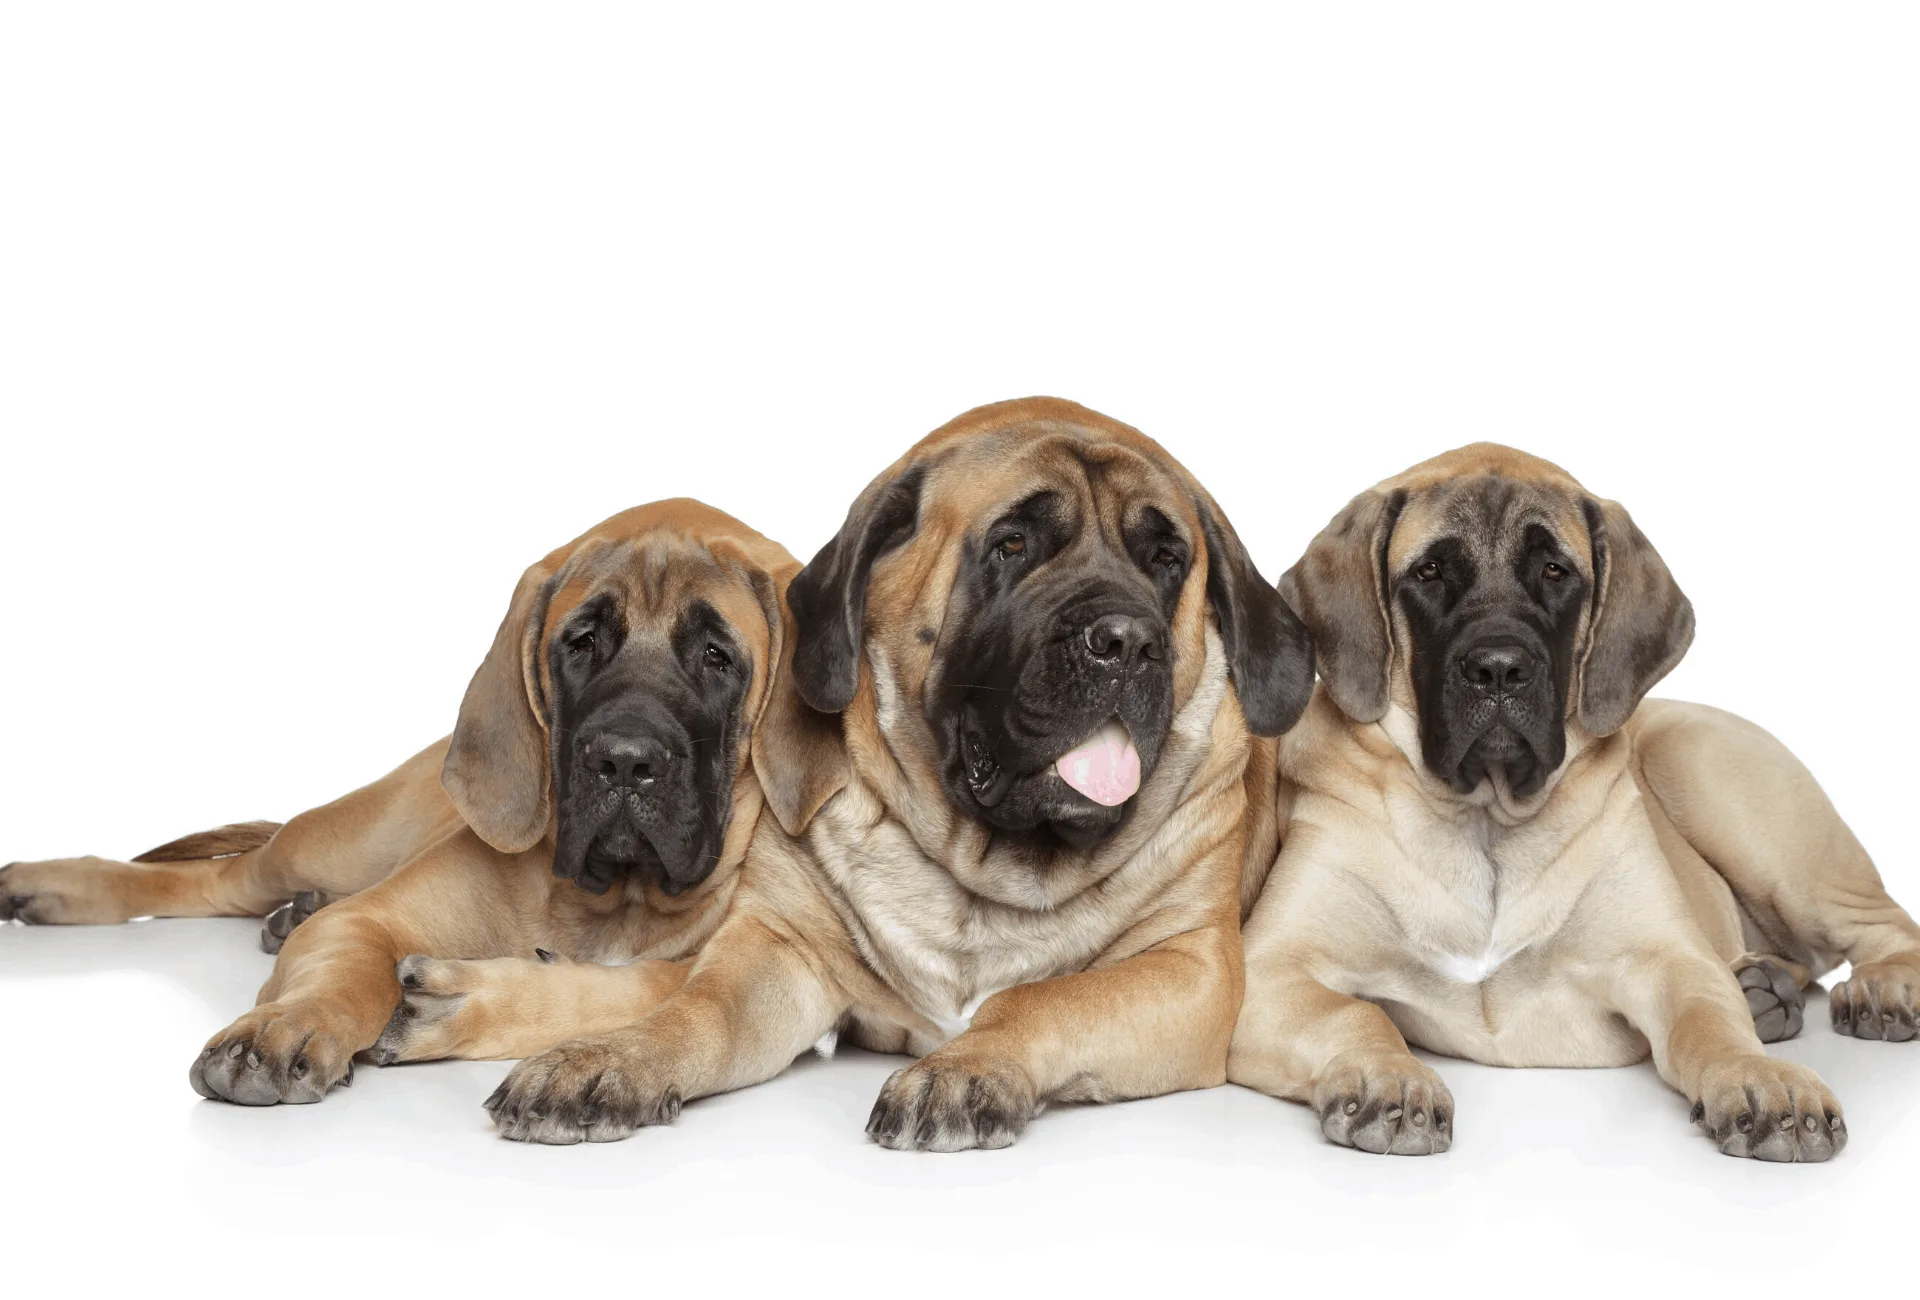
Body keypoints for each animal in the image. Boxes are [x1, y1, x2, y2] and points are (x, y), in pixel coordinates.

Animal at [0, 503, 814, 1098]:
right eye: (581, 642)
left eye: (716, 656)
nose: (623, 759)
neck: (619, 900)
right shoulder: (366, 919)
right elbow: (347, 966)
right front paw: (292, 1022)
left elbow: (625, 990)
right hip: (333, 839)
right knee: (215, 878)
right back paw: (58, 884)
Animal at [480, 395, 1320, 1144]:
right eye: (1012, 546)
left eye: (1168, 561)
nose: (1127, 640)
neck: (983, 876)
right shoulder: (778, 946)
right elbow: (694, 1010)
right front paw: (605, 1059)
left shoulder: (1192, 965)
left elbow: (1041, 1001)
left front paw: (962, 1068)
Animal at [1228, 441, 1920, 1159]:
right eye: (1430, 571)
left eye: (1556, 571)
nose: (1498, 669)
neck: (1487, 819)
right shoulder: (1266, 971)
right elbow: (1353, 1012)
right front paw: (1390, 1077)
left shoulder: (1669, 960)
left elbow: (1709, 1023)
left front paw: (1760, 1077)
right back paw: (1767, 988)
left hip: (1721, 788)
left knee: (1889, 925)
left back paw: (1878, 988)